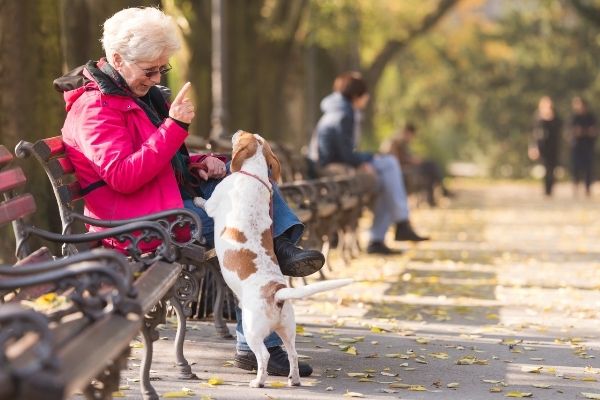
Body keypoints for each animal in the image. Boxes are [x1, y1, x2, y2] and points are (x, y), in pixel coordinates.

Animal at [202, 131, 352, 388]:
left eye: (243, 136)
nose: (236, 132)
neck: (254, 174)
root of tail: (277, 292)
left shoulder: (214, 202)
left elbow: (204, 202)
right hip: (288, 330)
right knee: (293, 354)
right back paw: (294, 380)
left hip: (253, 330)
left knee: (263, 355)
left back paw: (258, 381)